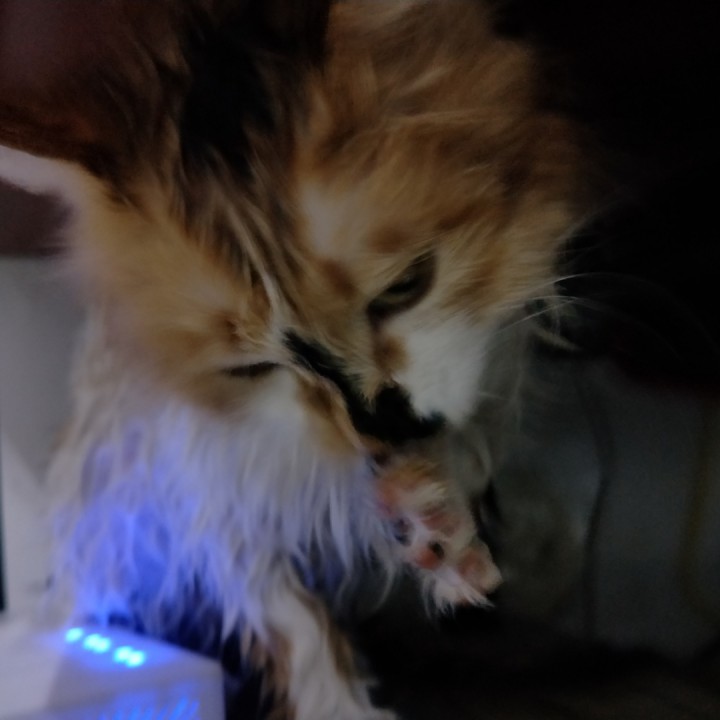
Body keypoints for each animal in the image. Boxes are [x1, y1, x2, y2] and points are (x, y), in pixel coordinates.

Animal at [0, 1, 581, 717]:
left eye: (406, 285)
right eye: (249, 368)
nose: (382, 420)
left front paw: (436, 526)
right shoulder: (202, 479)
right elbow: (292, 619)